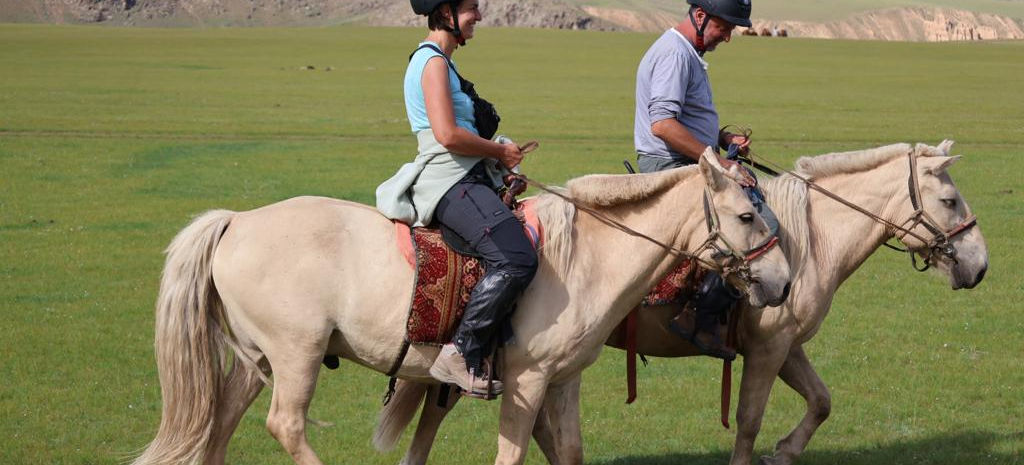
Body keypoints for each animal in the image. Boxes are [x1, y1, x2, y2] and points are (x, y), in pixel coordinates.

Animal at [130, 150, 792, 465]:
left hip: (258, 359)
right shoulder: (526, 381)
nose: (783, 283)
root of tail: (236, 221)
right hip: (298, 354)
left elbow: (568, 452)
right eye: (745, 214)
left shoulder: (563, 381)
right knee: (284, 425)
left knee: (220, 423)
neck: (585, 257)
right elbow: (512, 453)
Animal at [374, 140, 988, 465]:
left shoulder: (786, 348)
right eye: (950, 200)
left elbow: (821, 401)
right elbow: (749, 419)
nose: (980, 265)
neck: (806, 239)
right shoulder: (769, 348)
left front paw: (784, 452)